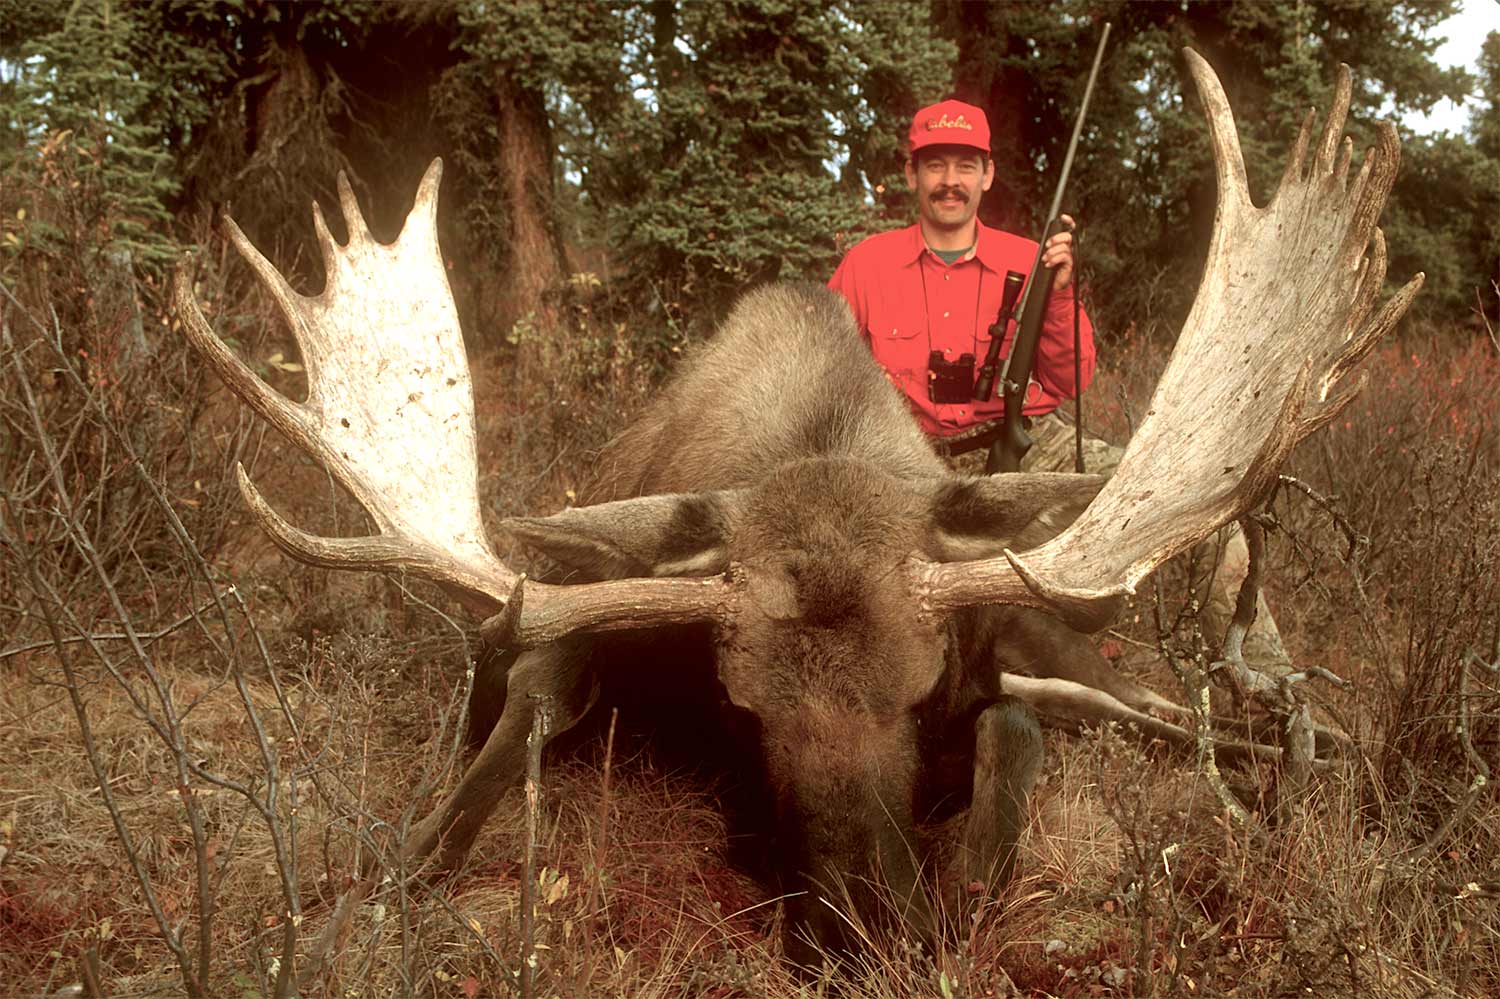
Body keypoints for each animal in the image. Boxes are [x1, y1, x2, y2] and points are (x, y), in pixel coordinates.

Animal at [175, 52, 1416, 966]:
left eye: (923, 696)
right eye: (744, 715)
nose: (856, 929)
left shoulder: (998, 670)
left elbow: (1014, 735)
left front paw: (970, 879)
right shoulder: (577, 623)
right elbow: (505, 741)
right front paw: (385, 881)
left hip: (1079, 642)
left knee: (1158, 703)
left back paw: (1298, 746)